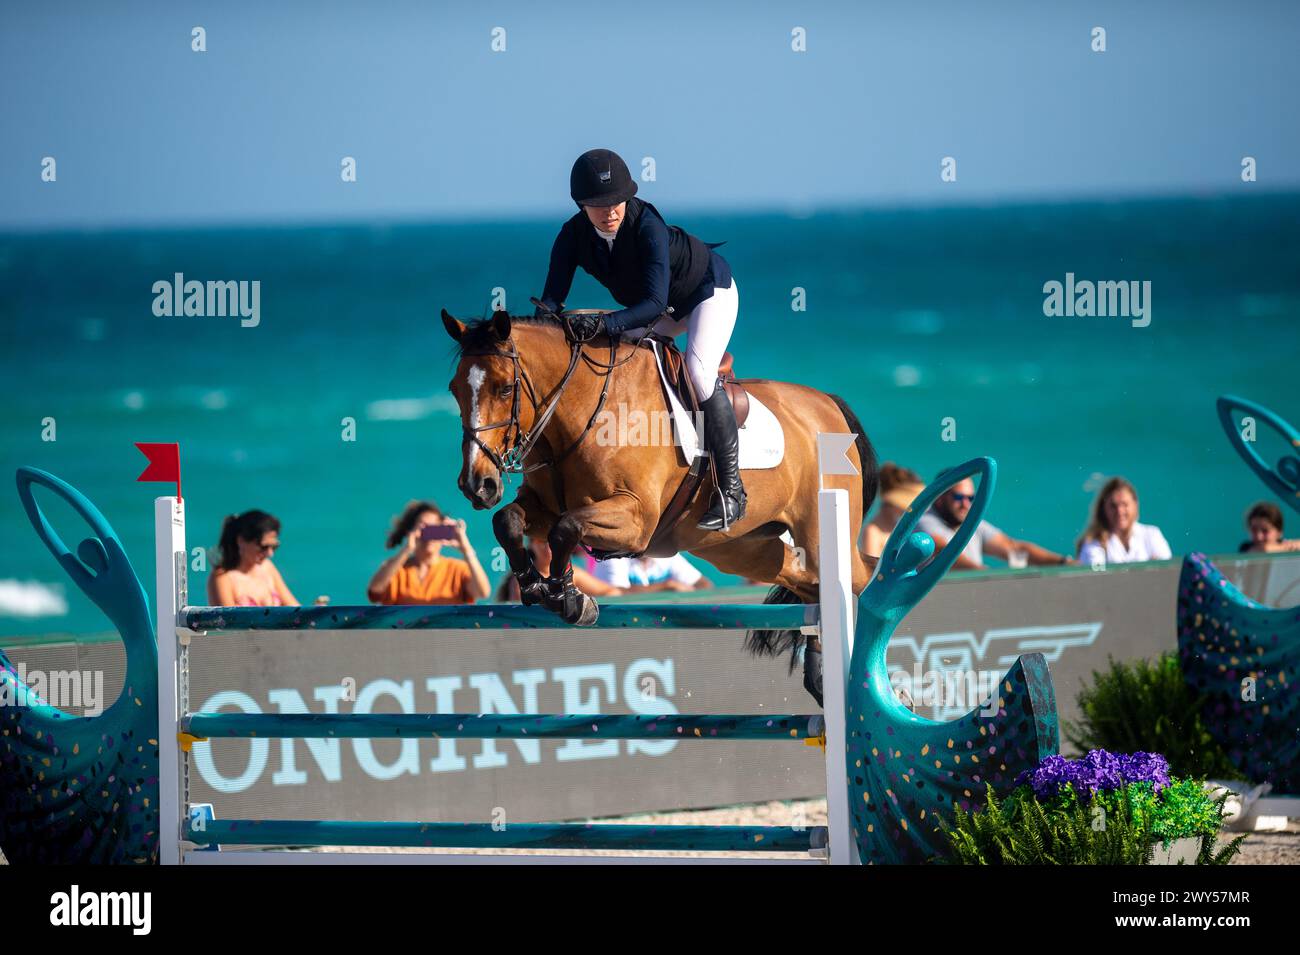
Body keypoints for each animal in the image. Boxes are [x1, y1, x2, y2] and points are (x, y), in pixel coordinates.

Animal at [441, 307, 878, 701]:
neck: (580, 410)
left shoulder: (636, 518)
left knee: (860, 576)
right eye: (454, 389)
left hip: (817, 534)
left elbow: (566, 528)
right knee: (812, 584)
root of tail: (828, 405)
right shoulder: (544, 506)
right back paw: (820, 678)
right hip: (743, 550)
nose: (476, 485)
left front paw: (570, 599)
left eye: (504, 388)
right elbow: (508, 520)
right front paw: (534, 585)